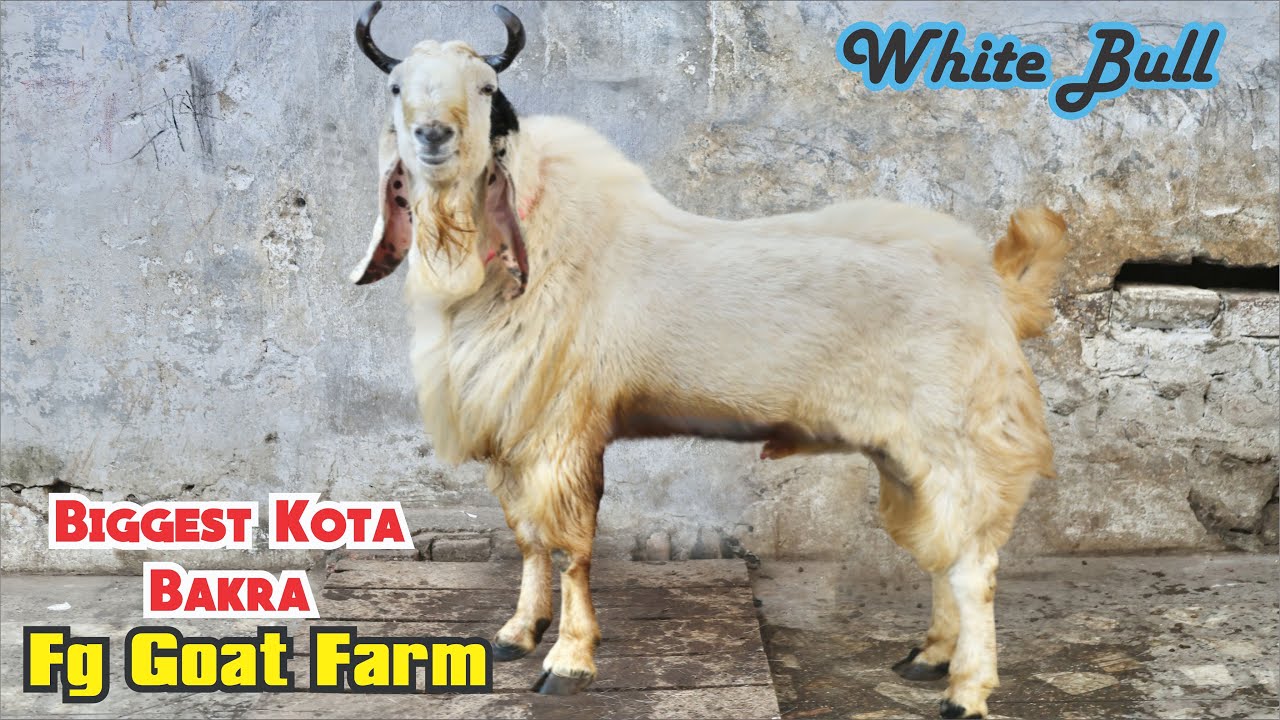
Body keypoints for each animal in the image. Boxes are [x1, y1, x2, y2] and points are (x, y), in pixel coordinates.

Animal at [348, 4, 1068, 717]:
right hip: (906, 452)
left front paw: (569, 661)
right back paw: (929, 656)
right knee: (944, 551)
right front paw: (518, 633)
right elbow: (527, 538)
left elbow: (571, 547)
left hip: (956, 437)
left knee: (974, 565)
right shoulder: (511, 430)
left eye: (485, 88)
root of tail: (996, 289)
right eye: (396, 86)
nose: (433, 135)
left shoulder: (563, 428)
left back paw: (966, 691)